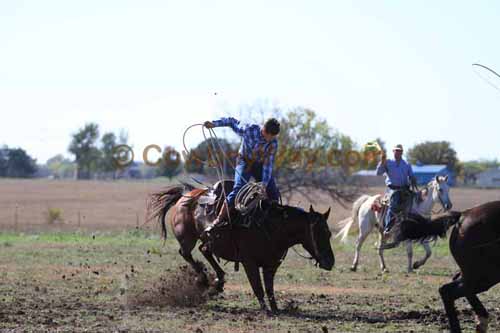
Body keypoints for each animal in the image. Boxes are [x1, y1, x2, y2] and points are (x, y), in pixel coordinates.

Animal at [145, 183, 334, 312]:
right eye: (317, 232)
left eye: (329, 233)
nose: (330, 262)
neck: (272, 226)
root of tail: (187, 194)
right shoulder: (249, 263)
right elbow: (258, 287)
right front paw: (265, 310)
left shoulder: (271, 265)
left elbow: (269, 288)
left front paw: (275, 308)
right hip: (187, 238)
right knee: (186, 253)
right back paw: (205, 279)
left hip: (209, 240)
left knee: (204, 250)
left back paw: (218, 281)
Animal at [392, 200, 500, 332]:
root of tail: (463, 215)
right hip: (485, 275)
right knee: (447, 291)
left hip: (476, 273)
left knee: (455, 283)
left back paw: (481, 322)